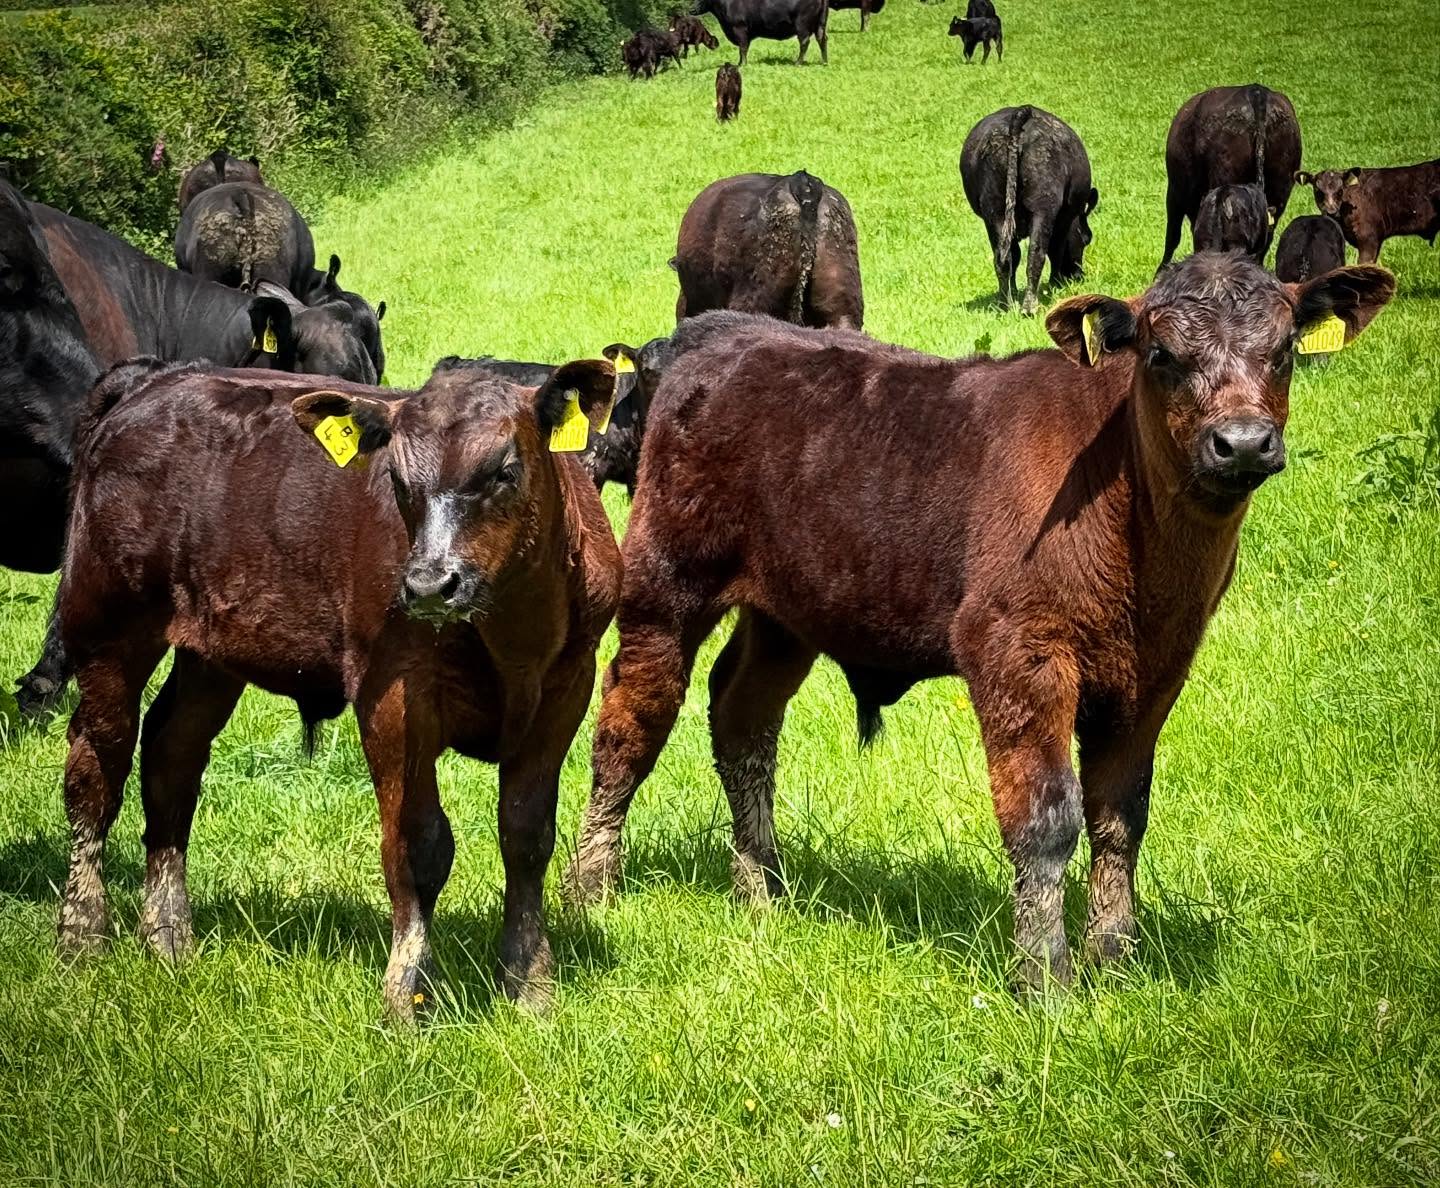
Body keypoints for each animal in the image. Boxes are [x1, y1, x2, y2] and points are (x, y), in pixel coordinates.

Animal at [53, 355, 624, 1022]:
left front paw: (531, 983)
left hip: (211, 650)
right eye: (398, 480)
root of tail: (155, 379)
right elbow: (418, 846)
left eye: (504, 471)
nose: (429, 585)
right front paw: (408, 994)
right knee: (97, 768)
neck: (514, 634)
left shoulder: (566, 690)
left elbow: (527, 836)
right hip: (107, 627)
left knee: (172, 756)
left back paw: (169, 937)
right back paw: (82, 934)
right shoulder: (393, 697)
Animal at [561, 254, 1394, 999]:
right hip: (666, 587)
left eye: (1284, 350)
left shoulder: (1156, 673)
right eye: (1162, 354)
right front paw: (1047, 981)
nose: (1243, 442)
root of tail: (708, 333)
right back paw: (590, 887)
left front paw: (1115, 963)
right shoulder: (1016, 653)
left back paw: (761, 888)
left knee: (742, 718)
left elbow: (1121, 815)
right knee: (629, 726)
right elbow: (1046, 819)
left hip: (787, 611)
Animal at [694, 0, 829, 67]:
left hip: (802, 24)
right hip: (820, 24)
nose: (692, 8)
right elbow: (742, 49)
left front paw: (742, 65)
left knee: (804, 42)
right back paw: (824, 61)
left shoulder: (740, 29)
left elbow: (743, 48)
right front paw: (739, 63)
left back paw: (798, 63)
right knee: (822, 39)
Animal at [961, 105, 1098, 316]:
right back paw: (1029, 307)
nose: (1077, 276)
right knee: (1036, 253)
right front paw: (1055, 284)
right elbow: (1055, 249)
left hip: (995, 210)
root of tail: (1020, 113)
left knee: (1003, 258)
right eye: (1086, 239)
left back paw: (1005, 305)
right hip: (1043, 205)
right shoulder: (1064, 218)